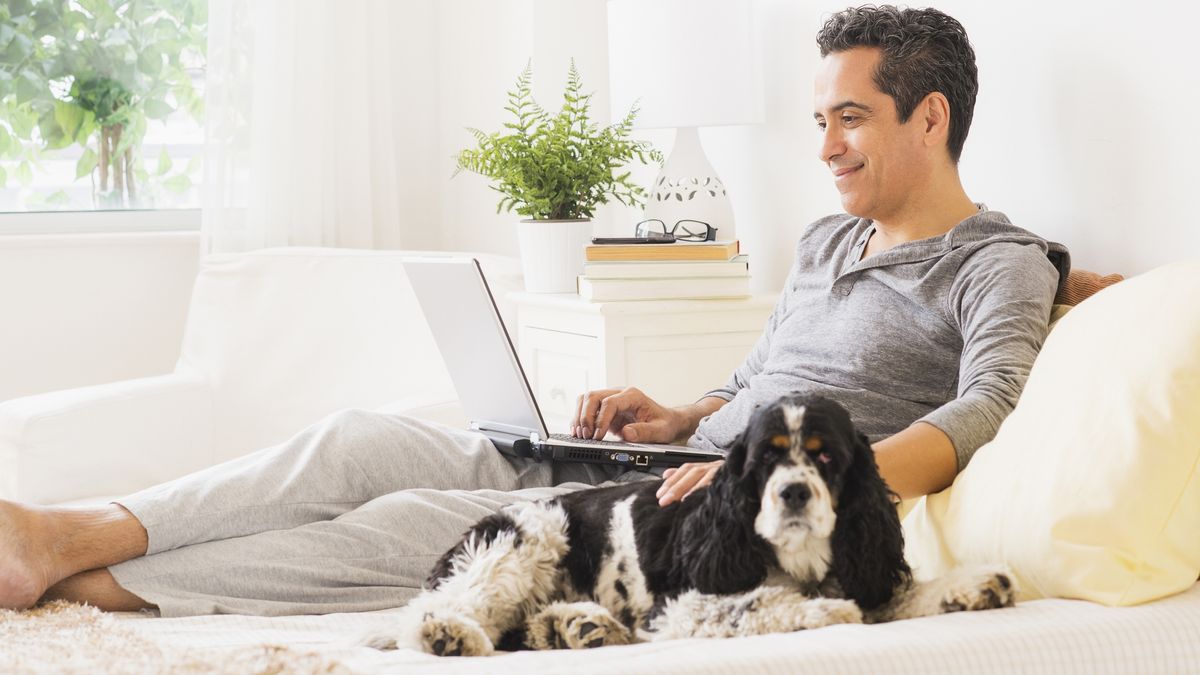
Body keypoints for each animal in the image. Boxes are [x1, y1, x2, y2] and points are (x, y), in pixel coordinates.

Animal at [367, 393, 1012, 653]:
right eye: (766, 458)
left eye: (826, 457)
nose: (795, 493)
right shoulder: (676, 608)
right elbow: (754, 603)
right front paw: (822, 612)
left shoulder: (865, 567)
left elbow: (902, 593)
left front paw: (973, 585)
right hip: (524, 543)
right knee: (439, 611)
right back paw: (448, 636)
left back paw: (575, 627)